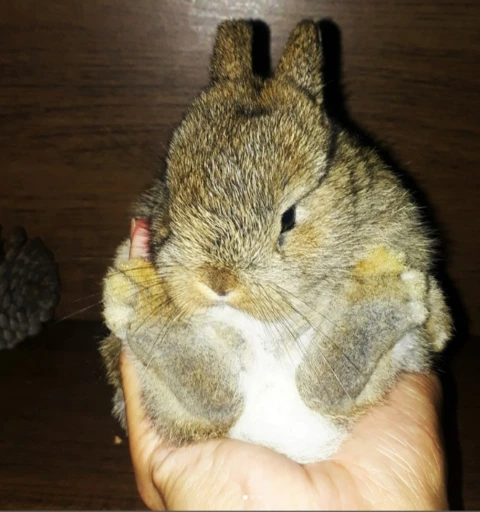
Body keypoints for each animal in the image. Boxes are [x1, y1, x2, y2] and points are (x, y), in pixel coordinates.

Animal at [99, 20, 452, 462]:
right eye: (170, 192)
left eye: (289, 218)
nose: (218, 283)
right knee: (220, 400)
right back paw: (139, 298)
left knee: (321, 387)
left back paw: (384, 290)